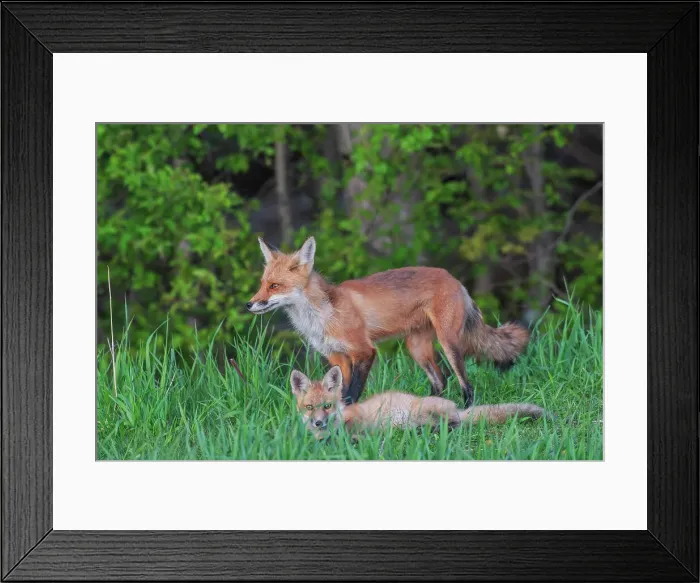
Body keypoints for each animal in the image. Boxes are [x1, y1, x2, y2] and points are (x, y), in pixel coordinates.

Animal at [248, 236, 530, 407]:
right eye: (262, 284)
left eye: (274, 286)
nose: (249, 304)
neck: (322, 315)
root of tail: (455, 279)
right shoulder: (338, 357)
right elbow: (340, 393)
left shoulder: (364, 351)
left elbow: (351, 393)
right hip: (416, 348)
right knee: (440, 381)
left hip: (449, 344)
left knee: (465, 384)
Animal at [290, 365, 547, 440]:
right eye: (310, 408)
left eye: (327, 406)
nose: (318, 423)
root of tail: (458, 408)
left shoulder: (359, 421)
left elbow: (350, 433)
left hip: (426, 410)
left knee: (455, 424)